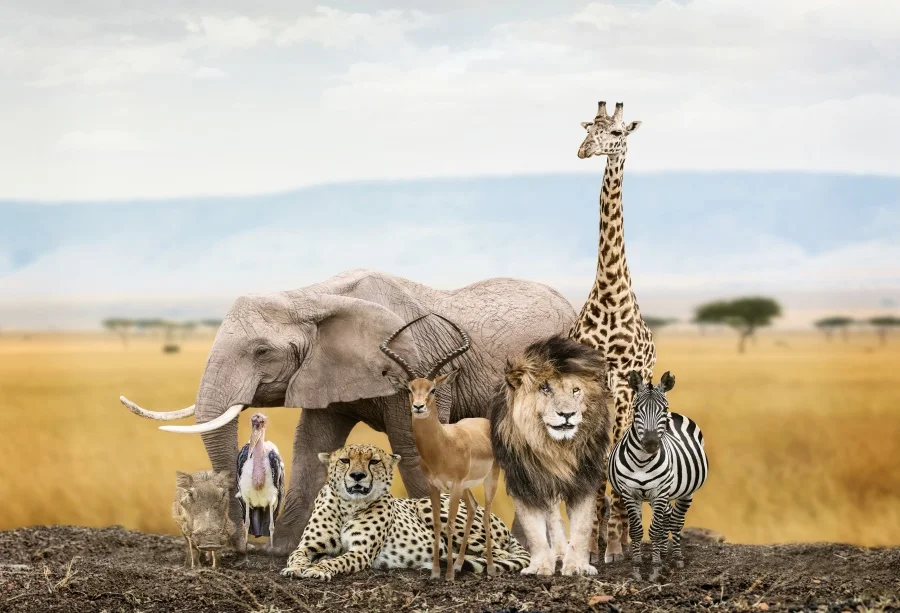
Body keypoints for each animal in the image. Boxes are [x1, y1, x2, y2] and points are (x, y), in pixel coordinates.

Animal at [121, 269, 575, 554]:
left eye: (262, 351)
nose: (237, 546)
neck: (312, 296)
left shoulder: (418, 366)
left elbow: (412, 446)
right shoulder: (324, 370)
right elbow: (312, 443)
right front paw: (285, 550)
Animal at [490, 335, 612, 576]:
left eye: (576, 390)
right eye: (545, 388)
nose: (567, 414)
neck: (556, 448)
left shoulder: (584, 481)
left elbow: (582, 528)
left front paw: (577, 566)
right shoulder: (524, 482)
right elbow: (534, 531)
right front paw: (540, 566)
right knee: (552, 515)